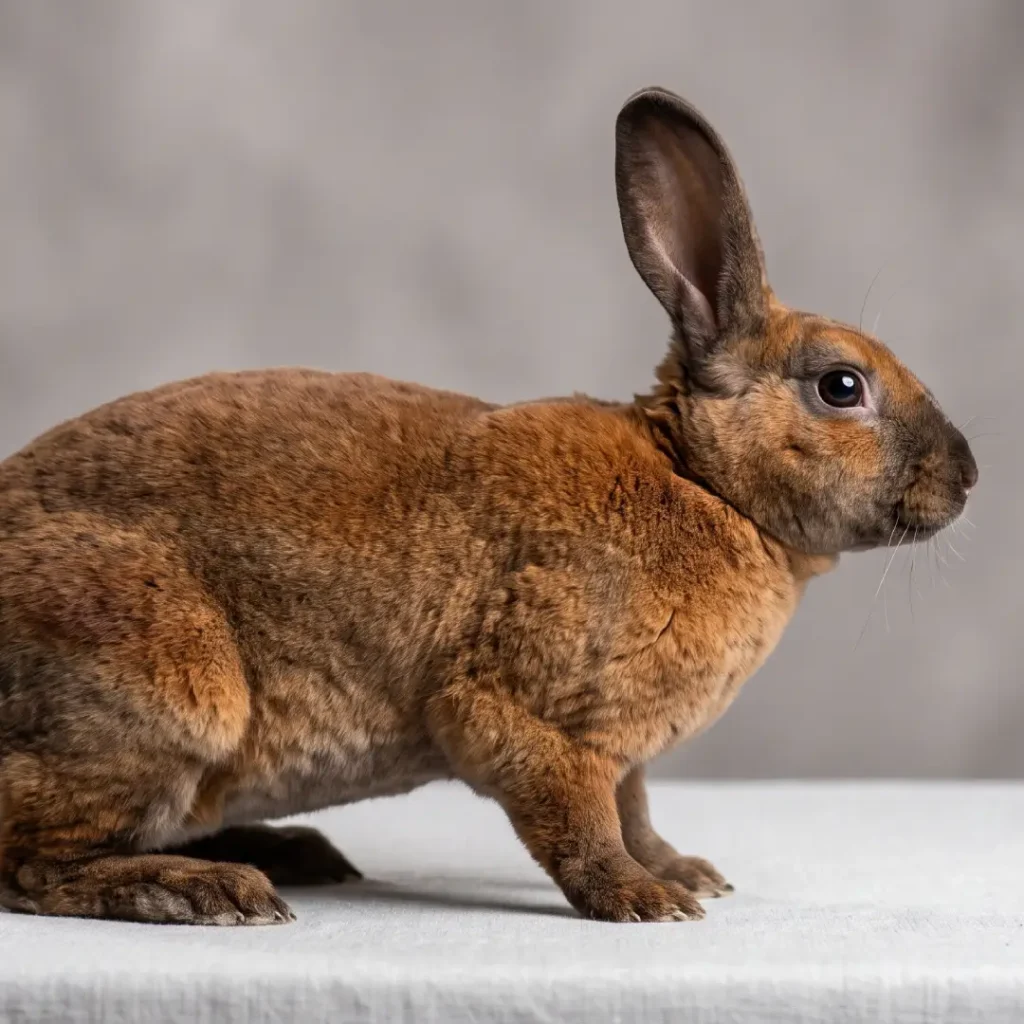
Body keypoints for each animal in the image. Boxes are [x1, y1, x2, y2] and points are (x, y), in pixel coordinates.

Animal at [0, 86, 977, 926]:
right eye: (841, 386)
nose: (968, 476)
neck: (703, 482)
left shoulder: (620, 749)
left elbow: (635, 808)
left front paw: (684, 872)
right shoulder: (521, 712)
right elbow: (581, 821)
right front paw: (644, 900)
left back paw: (295, 855)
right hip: (163, 684)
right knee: (31, 861)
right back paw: (211, 890)